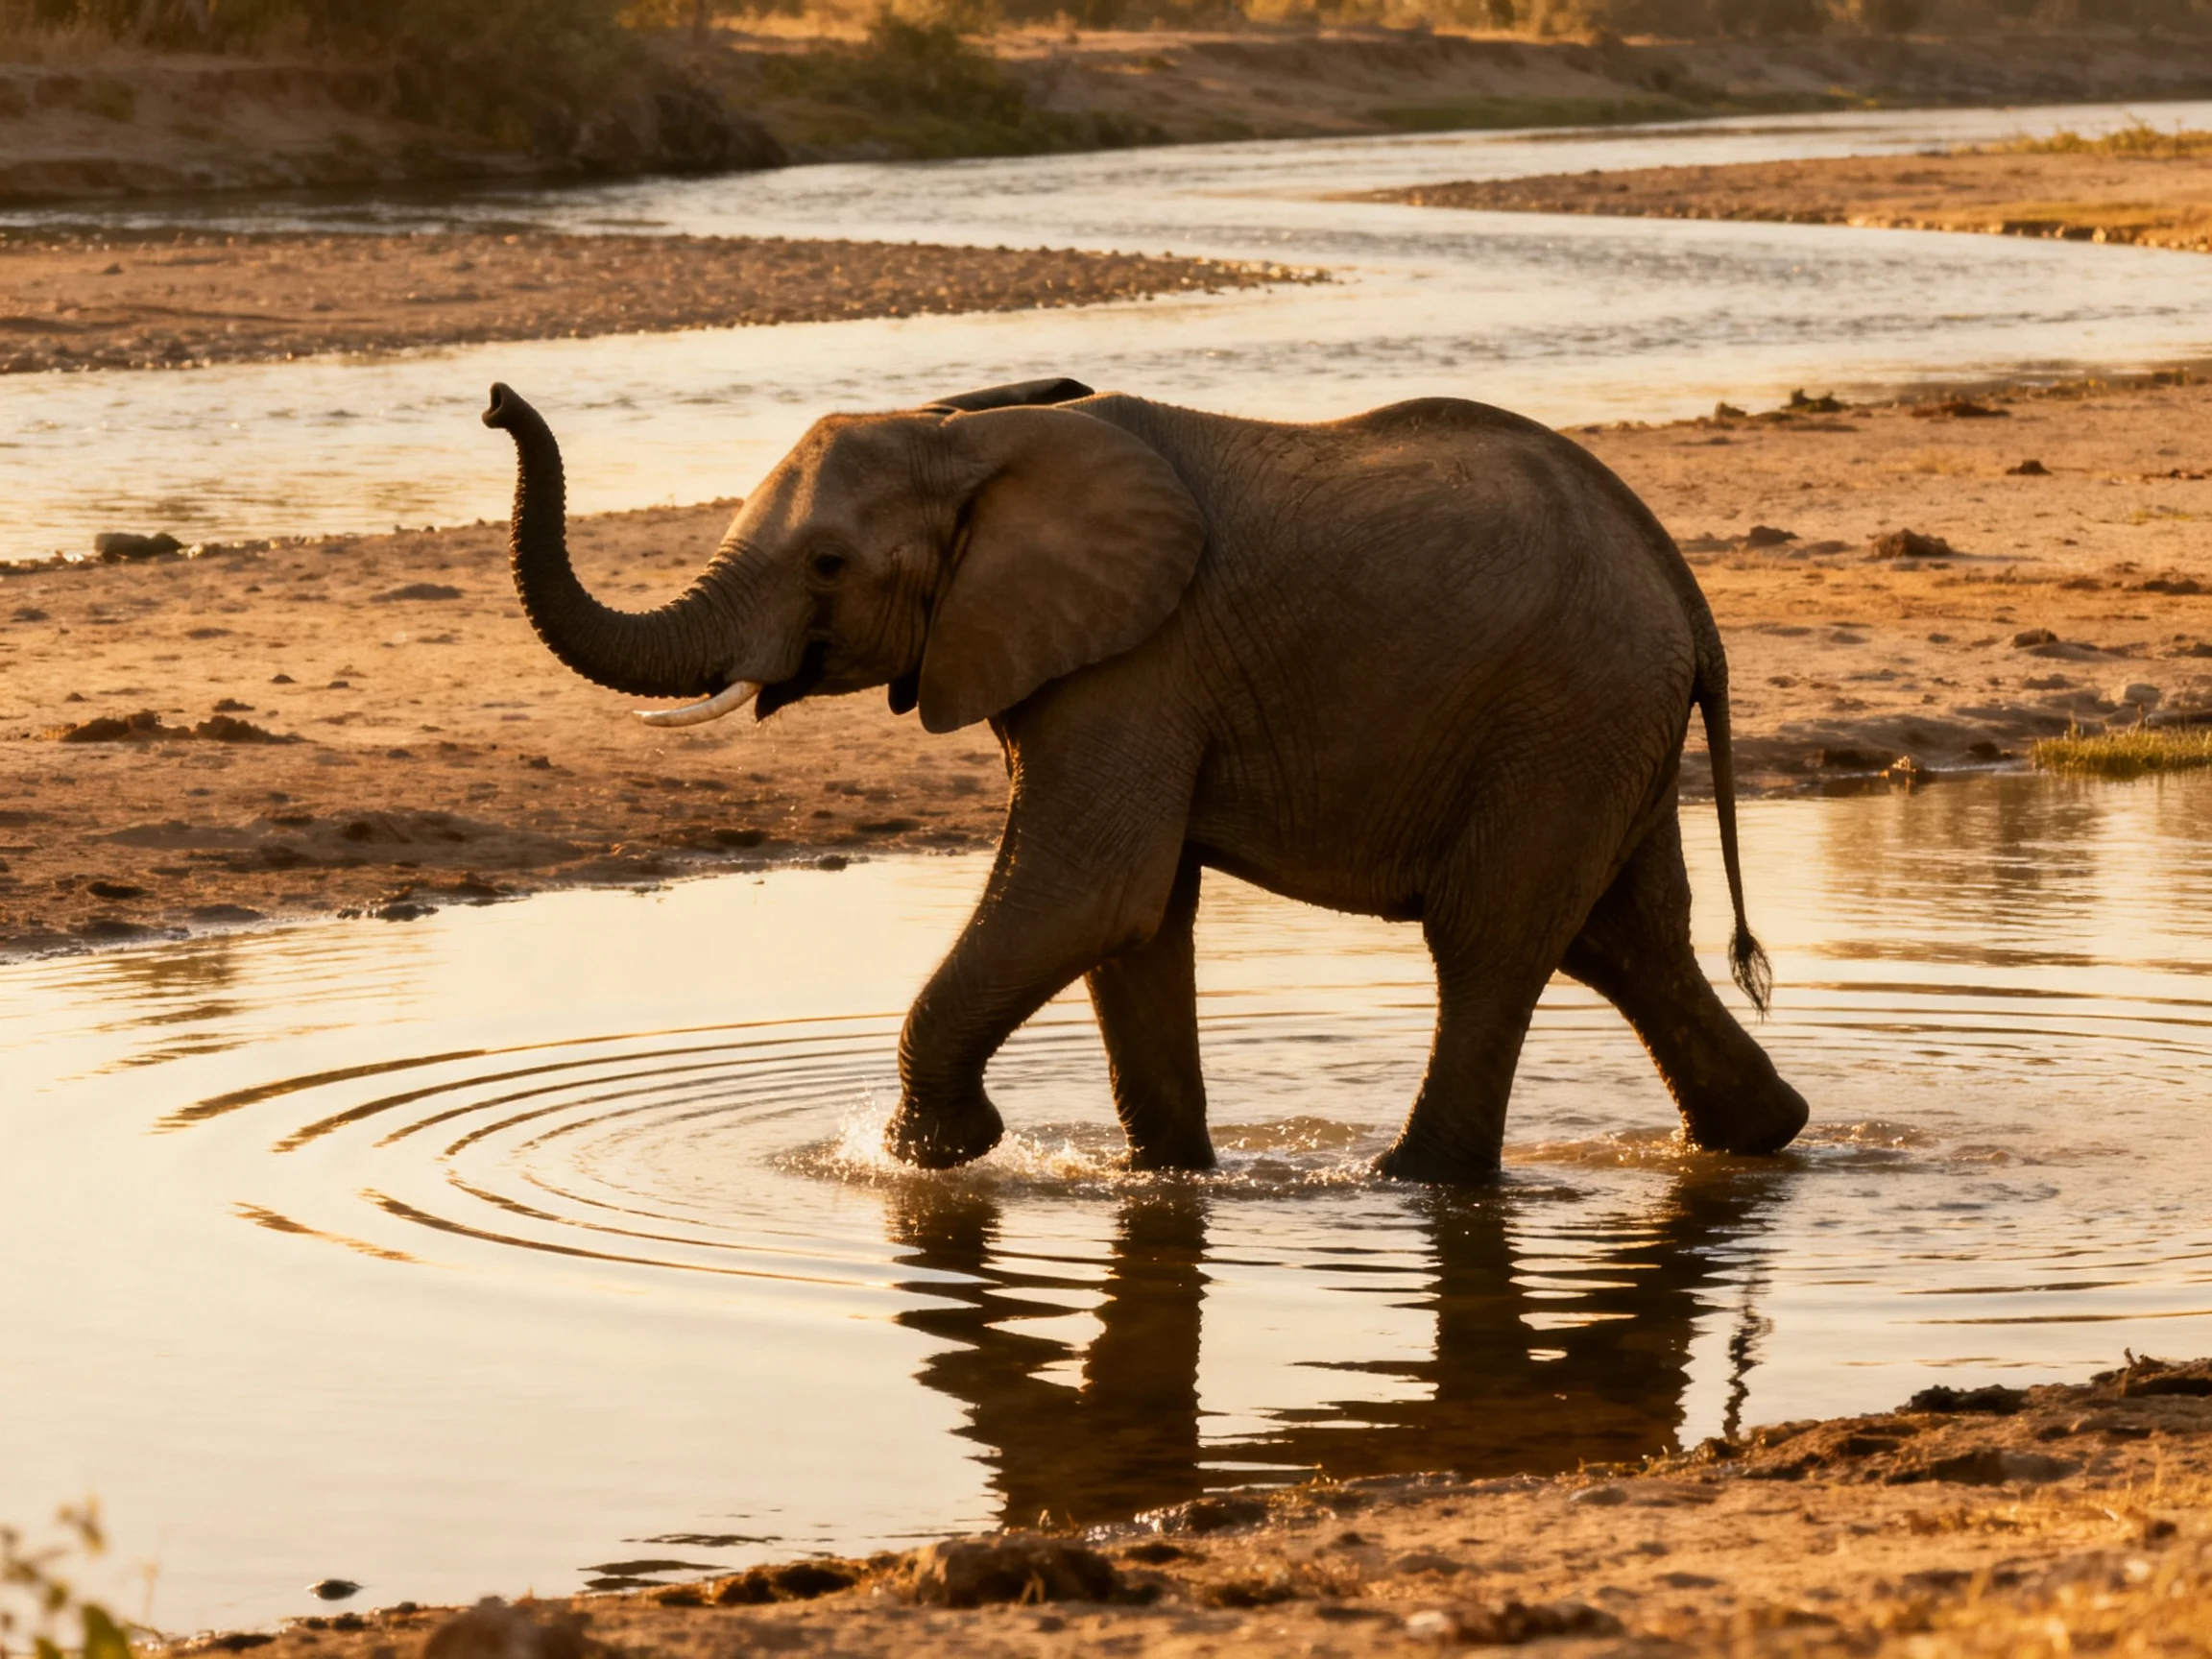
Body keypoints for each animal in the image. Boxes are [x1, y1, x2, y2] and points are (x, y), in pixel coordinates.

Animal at [481, 375, 1808, 1184]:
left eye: (827, 566)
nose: (496, 401)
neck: (968, 428)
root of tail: (1686, 596)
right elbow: (1136, 923)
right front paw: (1165, 1178)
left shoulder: (1140, 657)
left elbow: (1090, 891)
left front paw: (931, 1158)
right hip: (1601, 724)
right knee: (1621, 937)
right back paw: (1764, 1138)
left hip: (1567, 714)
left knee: (1491, 938)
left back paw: (1408, 1182)